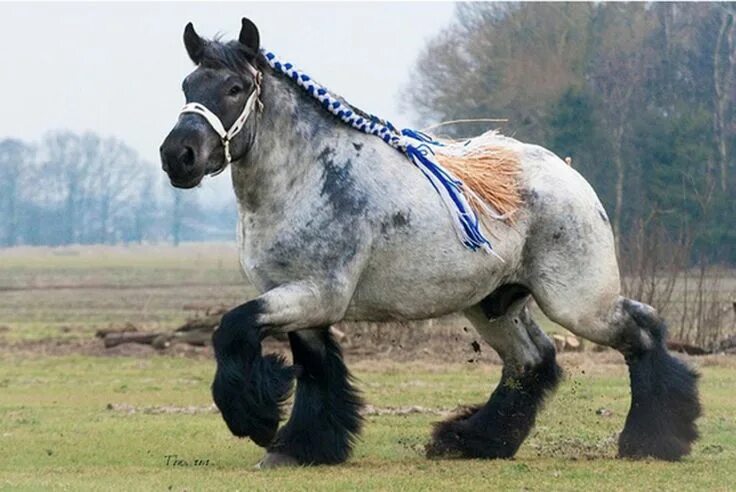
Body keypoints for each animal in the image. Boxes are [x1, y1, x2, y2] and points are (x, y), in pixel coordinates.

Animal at [158, 17, 700, 468]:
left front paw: (255, 418)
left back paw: (654, 440)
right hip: (494, 304)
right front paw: (301, 448)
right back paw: (473, 442)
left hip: (578, 302)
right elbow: (315, 370)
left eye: (234, 88)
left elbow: (231, 329)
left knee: (641, 331)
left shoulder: (316, 294)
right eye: (186, 86)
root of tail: (569, 176)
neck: (304, 177)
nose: (178, 156)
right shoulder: (301, 303)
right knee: (531, 360)